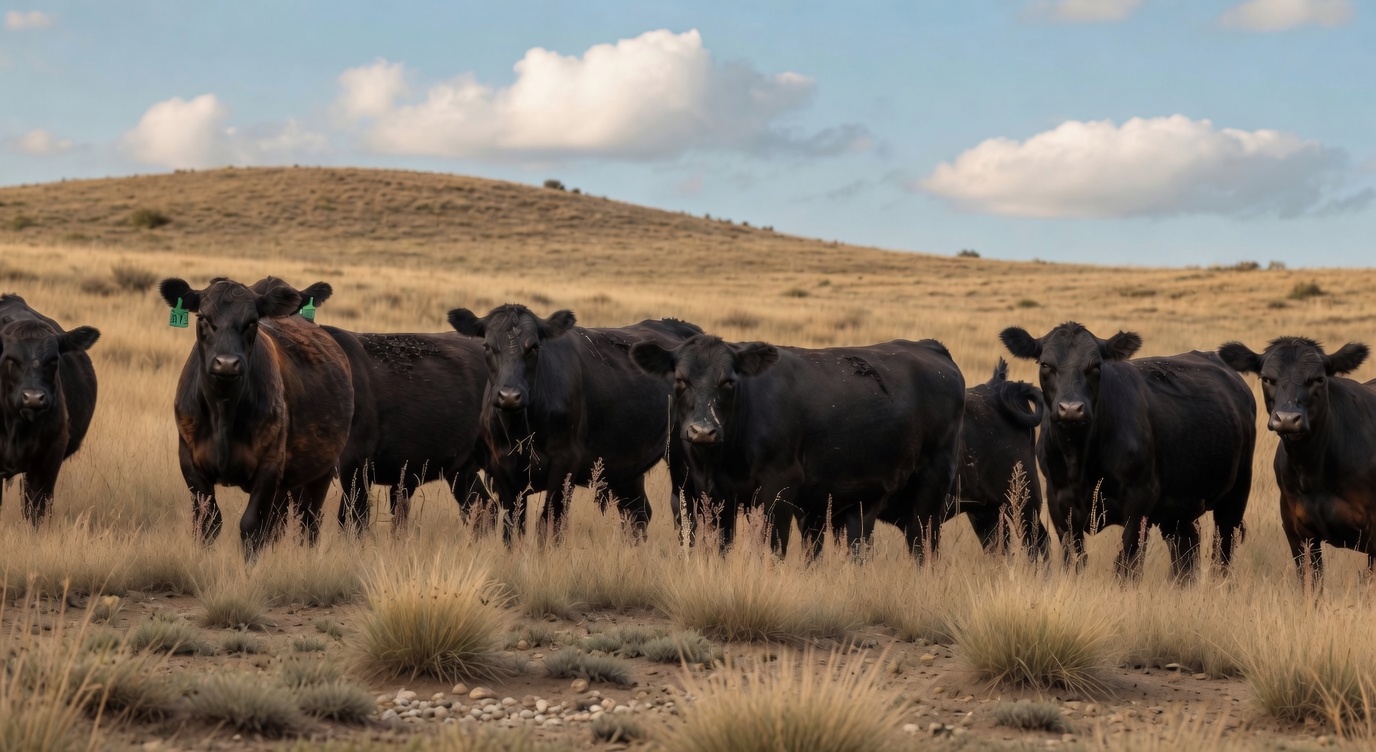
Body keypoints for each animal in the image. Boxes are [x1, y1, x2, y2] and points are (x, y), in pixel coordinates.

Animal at [160, 277, 354, 558]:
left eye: (252, 321)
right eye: (203, 317)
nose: (226, 363)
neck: (224, 411)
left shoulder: (269, 467)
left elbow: (252, 527)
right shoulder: (190, 463)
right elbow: (208, 522)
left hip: (322, 470)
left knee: (308, 521)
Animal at [448, 304, 702, 543]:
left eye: (534, 347)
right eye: (487, 346)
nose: (510, 396)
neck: (520, 430)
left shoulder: (564, 466)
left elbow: (549, 525)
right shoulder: (502, 473)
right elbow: (513, 530)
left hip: (682, 458)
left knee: (686, 512)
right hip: (628, 465)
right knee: (637, 515)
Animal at [630, 334, 965, 561]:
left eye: (728, 381)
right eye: (680, 379)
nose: (702, 430)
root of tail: (930, 348)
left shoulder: (780, 487)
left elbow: (774, 546)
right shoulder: (706, 492)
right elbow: (721, 544)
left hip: (932, 486)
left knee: (923, 544)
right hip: (861, 500)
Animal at [1001, 322, 1255, 580]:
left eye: (1096, 365)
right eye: (1046, 364)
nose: (1071, 409)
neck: (1079, 459)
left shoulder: (1140, 499)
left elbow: (1126, 563)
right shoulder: (1058, 501)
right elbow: (1075, 559)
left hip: (1236, 493)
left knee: (1222, 549)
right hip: (1179, 506)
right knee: (1186, 551)